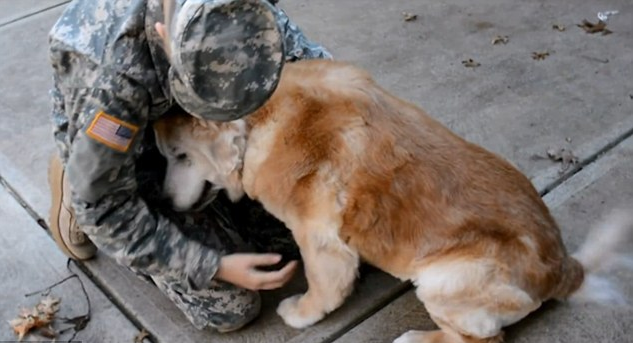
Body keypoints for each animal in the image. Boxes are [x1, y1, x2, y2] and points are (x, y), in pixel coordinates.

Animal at [152, 60, 628, 342]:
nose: (165, 203)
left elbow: (323, 287)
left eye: (179, 156)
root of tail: (563, 268)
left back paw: (415, 338)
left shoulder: (319, 240)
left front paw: (302, 312)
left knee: (481, 339)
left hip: (442, 280)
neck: (260, 119)